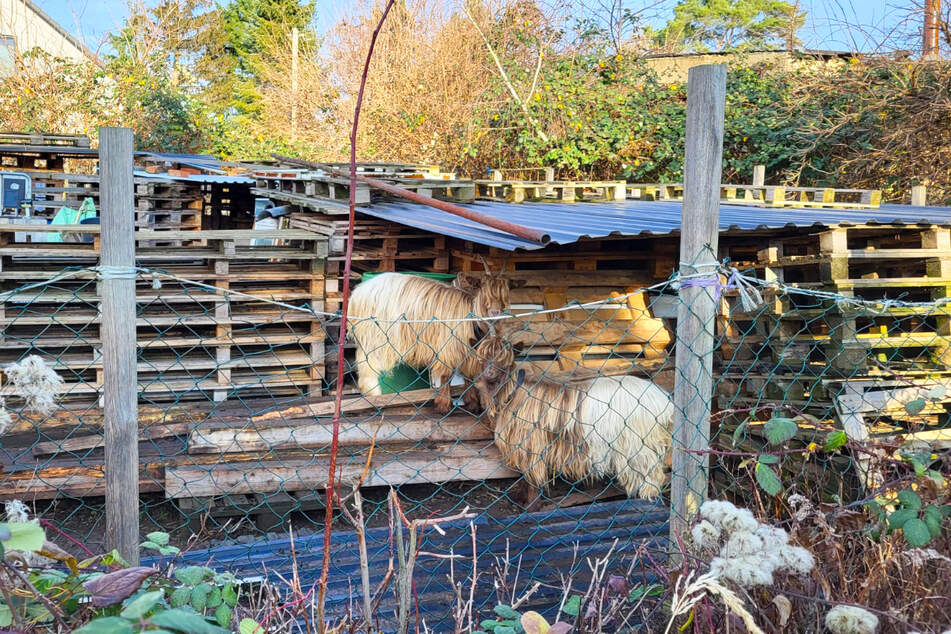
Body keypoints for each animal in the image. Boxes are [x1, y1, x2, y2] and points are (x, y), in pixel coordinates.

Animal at [348, 270, 510, 412]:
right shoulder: (448, 347)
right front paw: (443, 406)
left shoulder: (467, 351)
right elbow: (446, 375)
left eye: (505, 295)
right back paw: (374, 395)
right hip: (376, 336)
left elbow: (468, 375)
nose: (495, 312)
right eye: (484, 290)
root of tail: (357, 293)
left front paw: (472, 404)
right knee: (368, 364)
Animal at [472, 336, 672, 498]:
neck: (514, 392)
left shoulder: (532, 445)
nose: (489, 374)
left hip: (639, 445)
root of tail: (663, 401)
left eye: (505, 361)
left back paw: (646, 495)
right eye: (482, 358)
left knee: (651, 473)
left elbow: (533, 479)